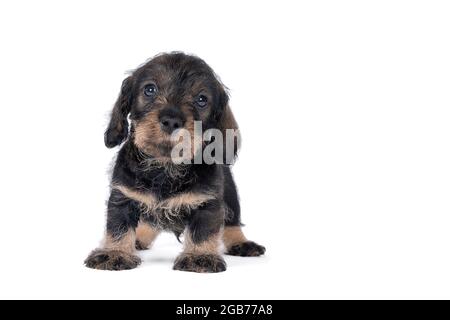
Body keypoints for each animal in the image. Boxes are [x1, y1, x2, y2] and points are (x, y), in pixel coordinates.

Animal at [85, 52, 264, 272]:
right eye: (150, 89)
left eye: (201, 99)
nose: (171, 120)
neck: (165, 168)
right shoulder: (123, 197)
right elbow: (118, 227)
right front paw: (115, 252)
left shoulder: (208, 202)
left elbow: (203, 231)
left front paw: (199, 256)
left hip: (230, 194)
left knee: (232, 222)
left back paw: (241, 242)